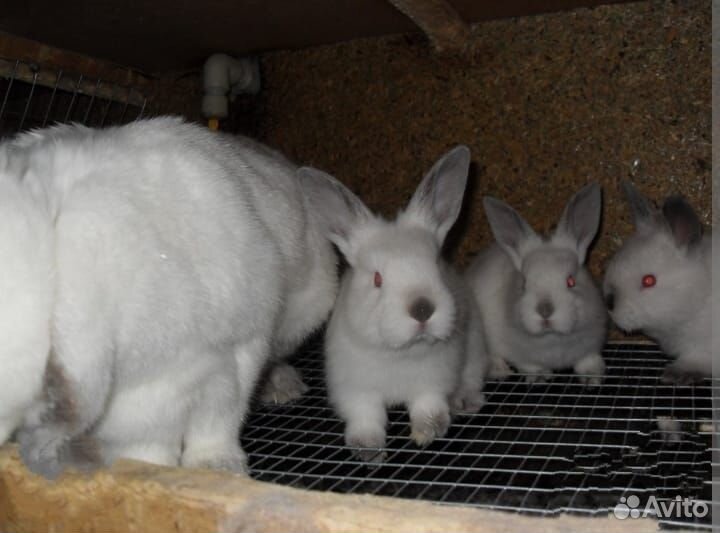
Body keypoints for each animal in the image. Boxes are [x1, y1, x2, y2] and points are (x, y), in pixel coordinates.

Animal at [0, 117, 336, 479]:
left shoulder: (229, 354)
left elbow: (219, 419)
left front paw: (218, 467)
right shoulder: (141, 405)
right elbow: (148, 448)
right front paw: (153, 472)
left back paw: (282, 387)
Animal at [298, 145, 489, 463]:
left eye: (436, 265)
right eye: (377, 278)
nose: (422, 309)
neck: (401, 354)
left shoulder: (433, 382)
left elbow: (428, 405)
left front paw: (428, 432)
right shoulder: (356, 390)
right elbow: (366, 415)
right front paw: (368, 449)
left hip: (474, 350)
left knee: (472, 378)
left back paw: (466, 401)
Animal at [465, 182, 607, 384]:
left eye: (571, 281)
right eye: (524, 284)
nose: (545, 311)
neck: (552, 338)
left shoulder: (591, 346)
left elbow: (588, 361)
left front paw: (592, 378)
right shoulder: (519, 355)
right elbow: (529, 366)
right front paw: (540, 376)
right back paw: (500, 371)